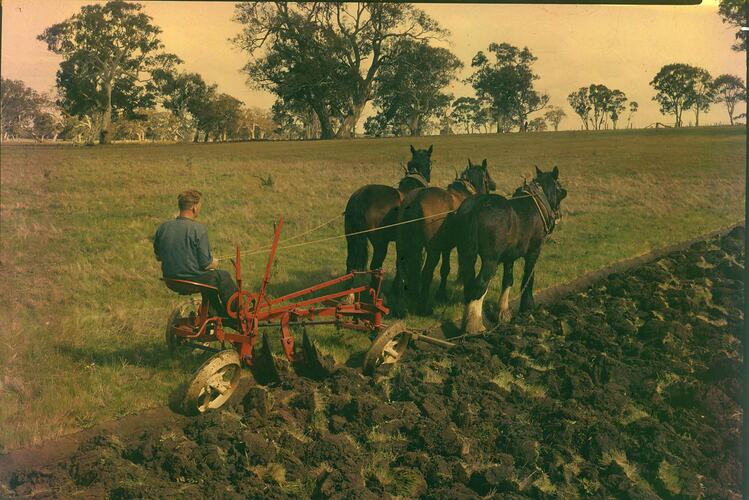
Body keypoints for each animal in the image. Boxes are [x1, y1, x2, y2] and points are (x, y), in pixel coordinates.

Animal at [344, 145, 432, 276]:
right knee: (375, 267)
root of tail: (361, 199)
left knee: (350, 264)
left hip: (351, 239)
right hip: (380, 244)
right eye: (429, 163)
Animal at [392, 159, 496, 316]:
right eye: (486, 175)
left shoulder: (446, 247)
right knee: (426, 273)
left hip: (403, 244)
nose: (493, 184)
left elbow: (445, 269)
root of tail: (415, 200)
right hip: (432, 251)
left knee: (401, 266)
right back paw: (423, 307)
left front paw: (441, 294)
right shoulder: (461, 247)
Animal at [456, 166, 568, 334]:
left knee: (469, 284)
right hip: (490, 261)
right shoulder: (534, 252)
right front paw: (527, 306)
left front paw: (503, 312)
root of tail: (476, 209)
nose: (558, 216)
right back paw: (475, 326)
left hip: (466, 255)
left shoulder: (509, 257)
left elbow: (508, 280)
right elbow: (528, 277)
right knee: (479, 285)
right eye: (559, 189)